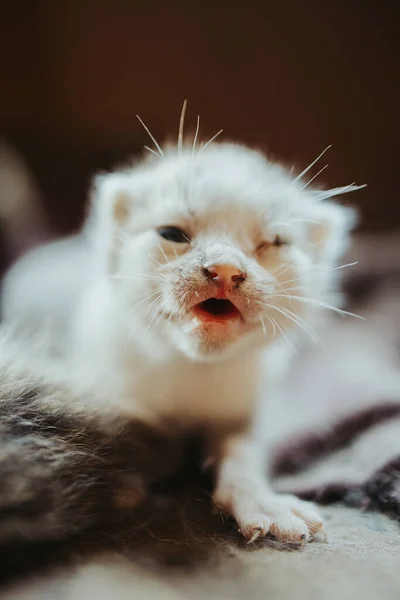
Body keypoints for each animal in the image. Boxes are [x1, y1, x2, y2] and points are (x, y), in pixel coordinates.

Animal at [1, 117, 364, 544]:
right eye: (172, 233)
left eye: (274, 242)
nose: (225, 270)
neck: (190, 375)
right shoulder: (97, 390)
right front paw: (119, 486)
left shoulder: (246, 403)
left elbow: (242, 450)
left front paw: (263, 502)